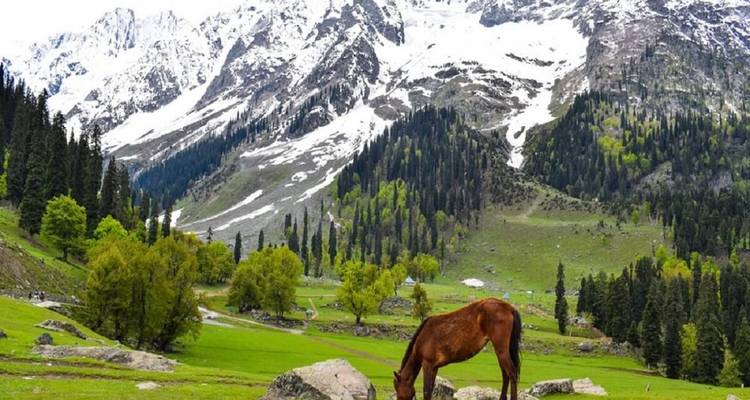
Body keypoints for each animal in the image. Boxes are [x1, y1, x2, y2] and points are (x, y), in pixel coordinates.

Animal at [393, 298, 522, 400]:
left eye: (397, 389)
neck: (423, 338)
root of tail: (509, 307)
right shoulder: (434, 368)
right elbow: (430, 390)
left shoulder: (427, 365)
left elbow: (426, 392)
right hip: (500, 351)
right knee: (505, 375)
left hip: (501, 349)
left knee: (512, 373)